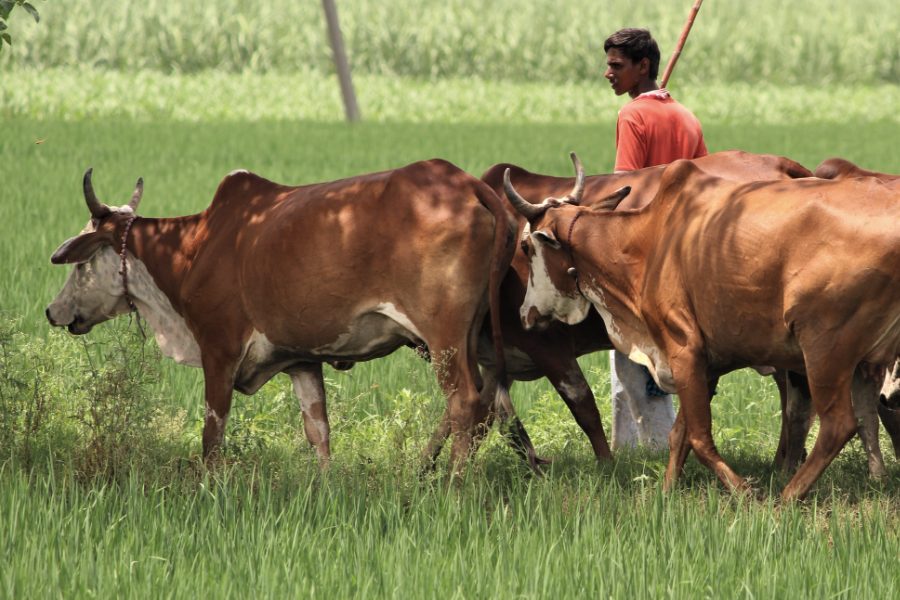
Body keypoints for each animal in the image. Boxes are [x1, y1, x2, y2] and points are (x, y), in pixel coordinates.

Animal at [45, 162, 540, 472]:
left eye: (82, 264)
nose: (52, 311)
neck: (193, 247)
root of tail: (465, 182)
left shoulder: (218, 351)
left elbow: (211, 434)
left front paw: (207, 488)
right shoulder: (302, 360)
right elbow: (318, 433)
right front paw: (326, 489)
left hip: (443, 336)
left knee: (466, 405)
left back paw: (453, 488)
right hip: (471, 336)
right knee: (485, 404)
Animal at [510, 152, 900, 500]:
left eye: (527, 246)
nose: (525, 314)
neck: (646, 241)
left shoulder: (683, 349)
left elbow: (698, 437)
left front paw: (744, 493)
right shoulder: (704, 363)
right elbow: (679, 435)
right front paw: (665, 495)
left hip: (824, 348)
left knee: (838, 424)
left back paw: (787, 499)